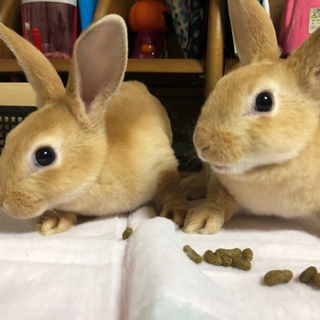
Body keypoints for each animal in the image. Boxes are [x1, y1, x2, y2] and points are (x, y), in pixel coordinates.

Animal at [0, 15, 189, 235]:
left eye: (44, 155)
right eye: (10, 137)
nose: (3, 202)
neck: (98, 167)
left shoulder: (164, 163)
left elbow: (171, 187)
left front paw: (174, 214)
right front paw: (53, 221)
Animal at [182, 0, 320, 235]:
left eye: (264, 101)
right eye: (221, 84)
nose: (201, 144)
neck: (270, 168)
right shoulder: (221, 183)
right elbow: (217, 198)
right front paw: (200, 220)